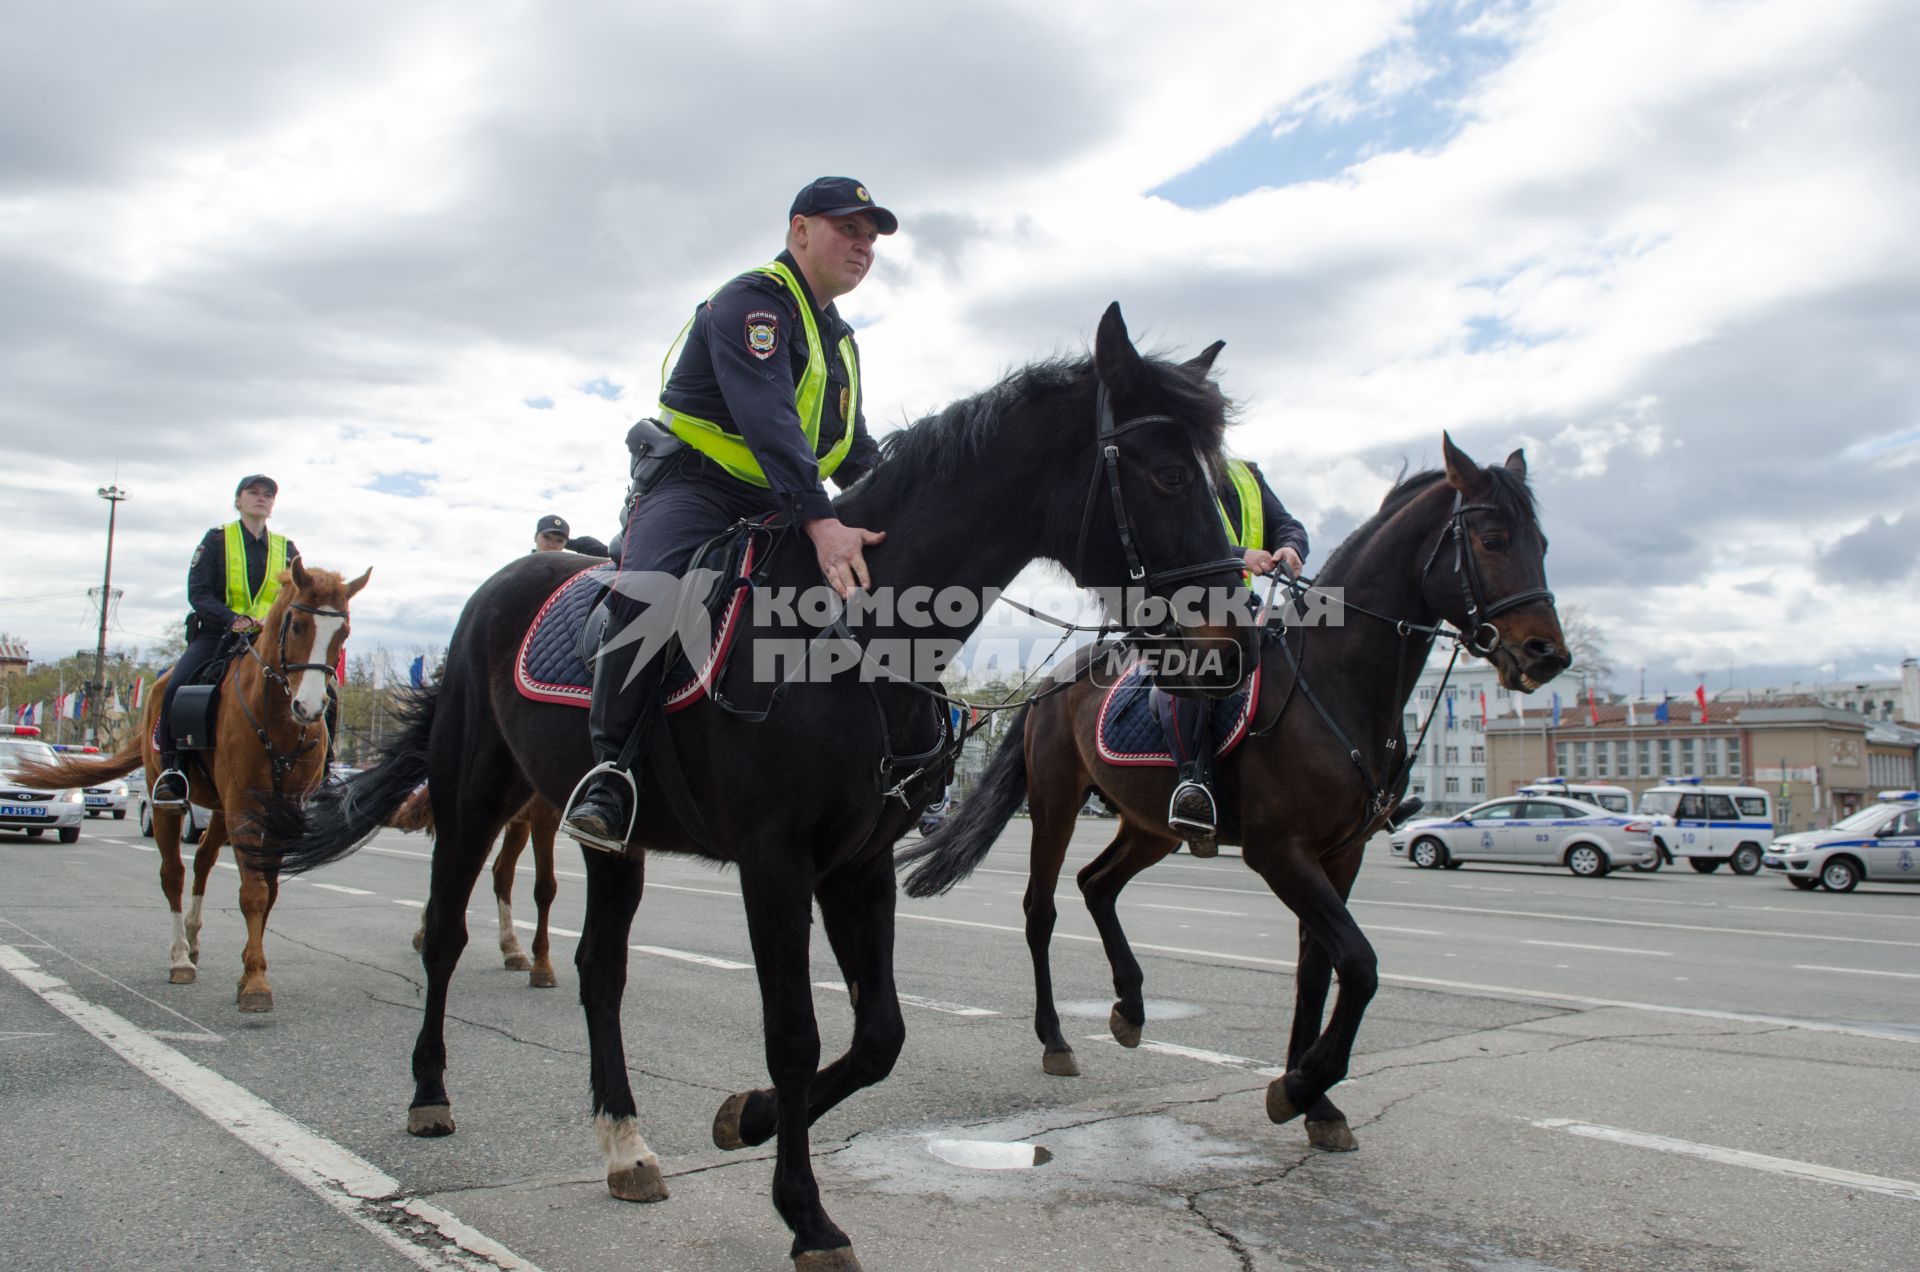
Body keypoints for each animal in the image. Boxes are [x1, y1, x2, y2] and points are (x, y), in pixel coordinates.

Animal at [14, 564, 366, 1014]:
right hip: (171, 803)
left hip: (218, 810)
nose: (310, 708)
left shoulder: (280, 810)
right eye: (299, 625)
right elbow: (253, 891)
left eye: (344, 633)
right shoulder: (244, 806)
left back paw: (195, 938)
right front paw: (255, 982)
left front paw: (249, 968)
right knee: (174, 873)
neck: (279, 724)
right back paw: (180, 956)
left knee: (201, 860)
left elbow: (268, 890)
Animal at [890, 436, 1566, 1152]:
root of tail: (1056, 678)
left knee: (1098, 885)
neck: (1337, 685)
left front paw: (1318, 1102)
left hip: (1150, 826)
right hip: (1055, 803)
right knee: (1040, 909)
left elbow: (1317, 967)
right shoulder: (1281, 852)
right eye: (1493, 538)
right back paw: (1056, 1038)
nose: (1547, 653)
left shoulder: (1341, 855)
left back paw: (1131, 1005)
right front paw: (1302, 1084)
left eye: (1541, 542)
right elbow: (1358, 962)